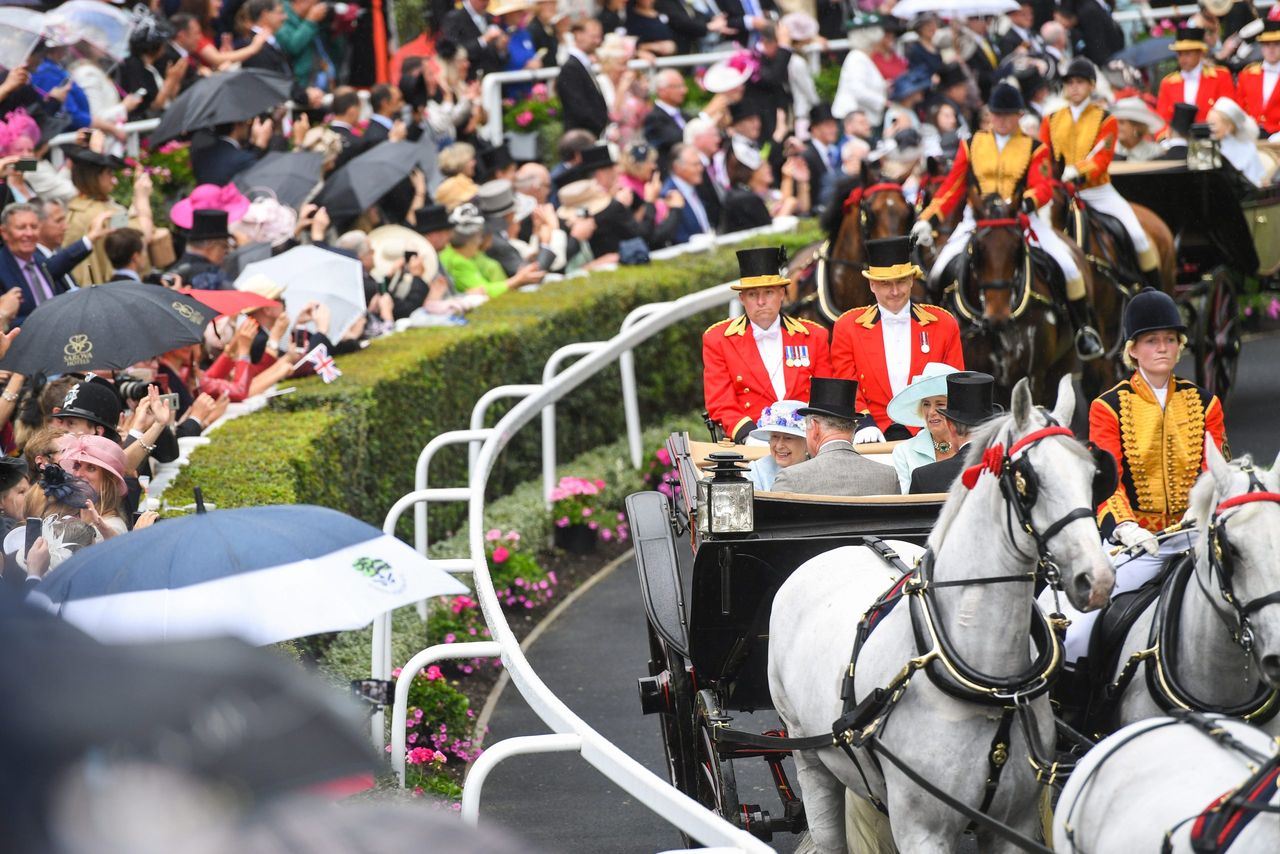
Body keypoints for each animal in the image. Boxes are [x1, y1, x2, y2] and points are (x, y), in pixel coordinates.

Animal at [762, 376, 1116, 850]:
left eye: (1092, 475)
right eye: (1028, 478)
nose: (1097, 579)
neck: (988, 684)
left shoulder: (1014, 824)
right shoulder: (922, 832)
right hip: (812, 758)